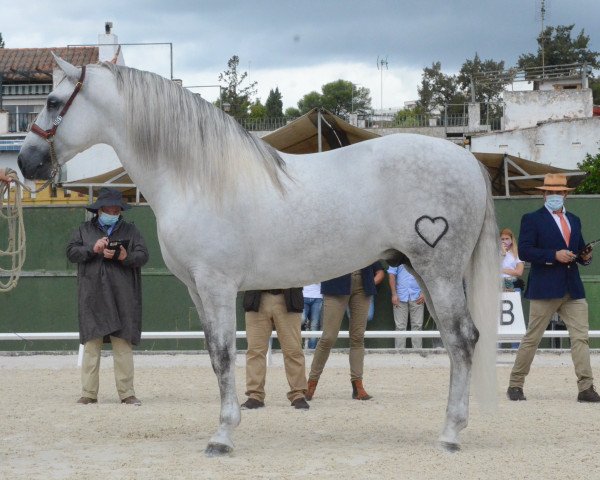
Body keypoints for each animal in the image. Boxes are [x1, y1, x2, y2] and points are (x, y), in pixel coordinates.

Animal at [16, 58, 500, 456]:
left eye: (54, 102)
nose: (25, 162)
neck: (196, 177)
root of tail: (467, 160)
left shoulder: (215, 285)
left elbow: (222, 354)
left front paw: (222, 436)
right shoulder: (197, 289)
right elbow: (216, 356)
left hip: (439, 270)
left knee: (462, 340)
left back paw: (451, 435)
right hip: (427, 271)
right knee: (457, 341)